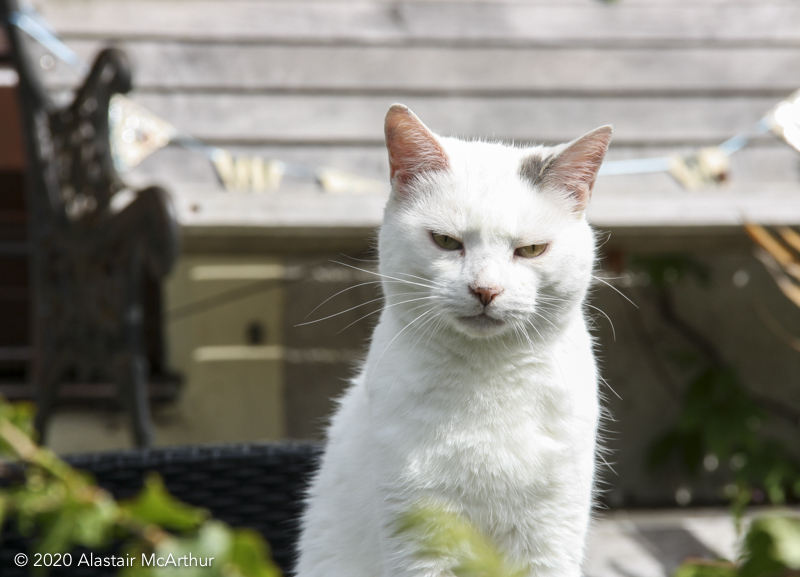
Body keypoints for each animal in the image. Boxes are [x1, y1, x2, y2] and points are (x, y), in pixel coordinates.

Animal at [296, 104, 612, 576]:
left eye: (531, 250)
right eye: (446, 241)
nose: (485, 290)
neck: (486, 381)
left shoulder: (550, 539)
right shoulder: (420, 541)